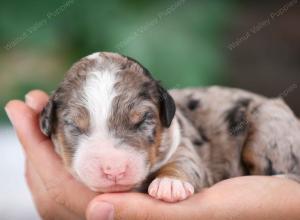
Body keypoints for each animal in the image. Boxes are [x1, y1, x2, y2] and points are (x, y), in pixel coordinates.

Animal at [39, 52, 300, 203]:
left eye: (142, 120)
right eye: (73, 125)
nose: (114, 169)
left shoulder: (183, 143)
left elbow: (184, 163)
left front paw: (170, 184)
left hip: (270, 128)